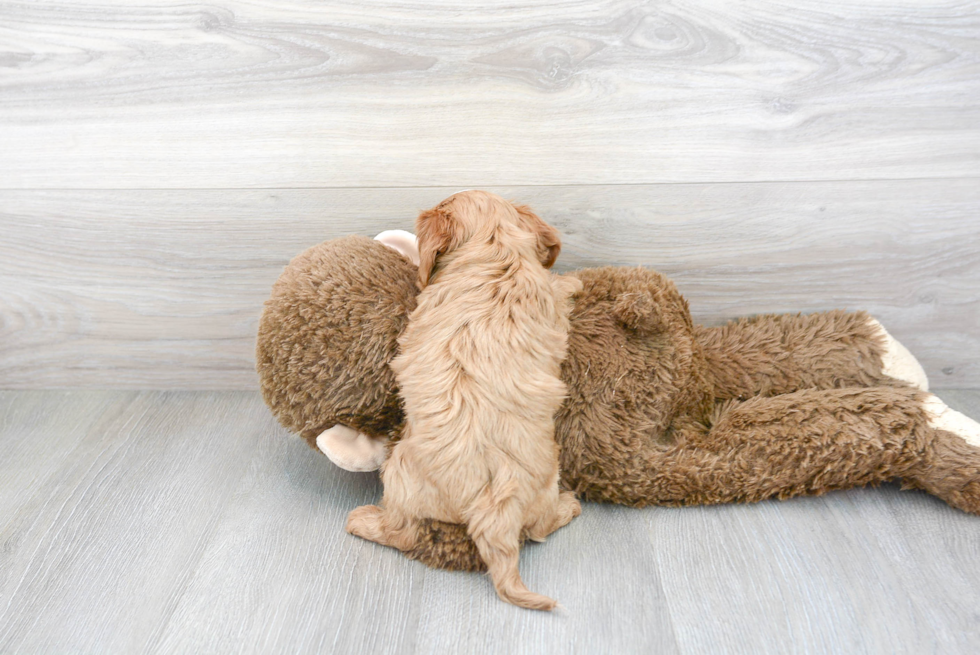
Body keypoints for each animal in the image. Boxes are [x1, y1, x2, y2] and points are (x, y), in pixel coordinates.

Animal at [346, 192, 580, 612]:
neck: (496, 249)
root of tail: (496, 504)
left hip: (399, 474)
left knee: (403, 532)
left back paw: (362, 521)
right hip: (543, 481)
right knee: (537, 527)